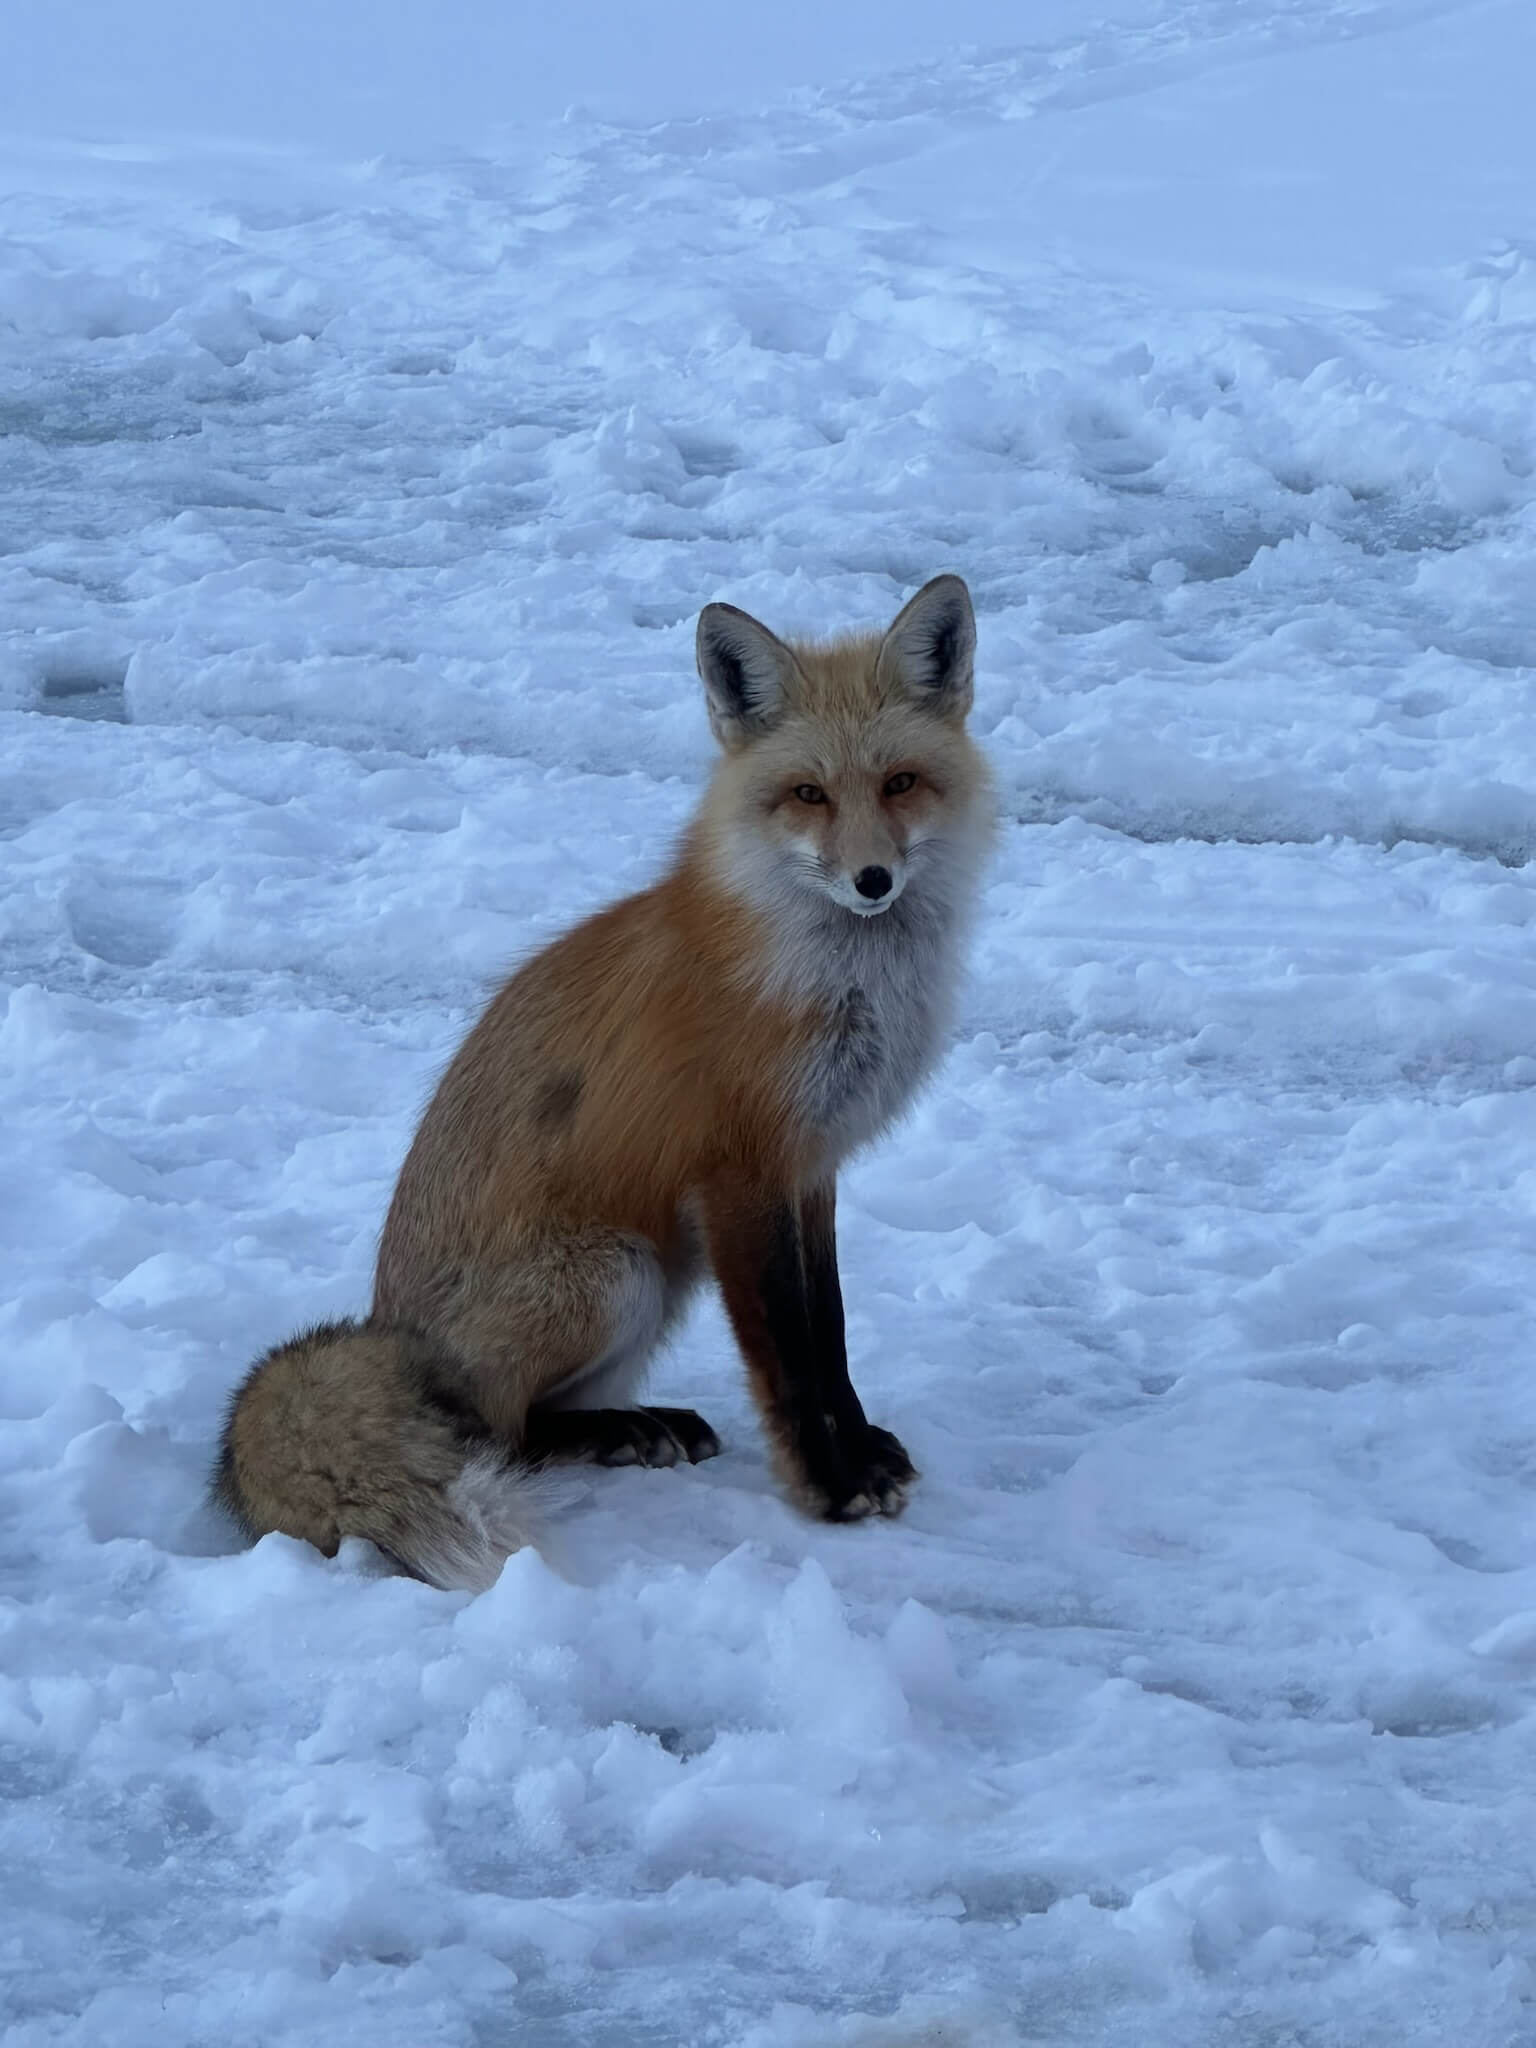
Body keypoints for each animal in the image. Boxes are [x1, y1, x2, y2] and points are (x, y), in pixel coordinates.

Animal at [213, 574, 994, 1591]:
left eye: (900, 782)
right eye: (808, 795)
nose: (872, 880)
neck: (831, 980)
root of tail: (392, 1332)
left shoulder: (811, 1164)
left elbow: (830, 1335)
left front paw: (858, 1447)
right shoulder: (739, 1173)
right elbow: (787, 1354)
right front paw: (827, 1485)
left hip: (654, 1282)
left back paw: (640, 1424)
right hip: (621, 1272)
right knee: (498, 1434)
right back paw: (621, 1431)